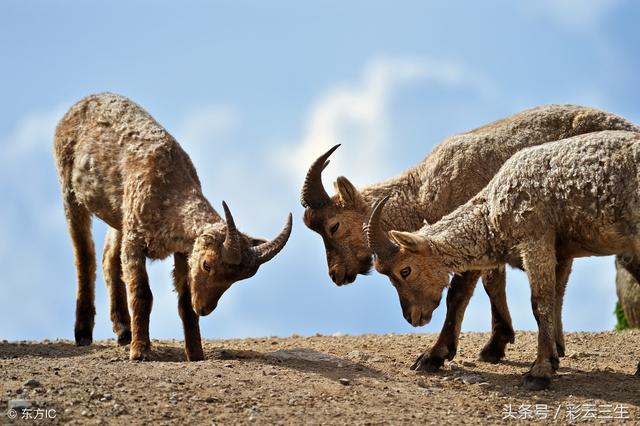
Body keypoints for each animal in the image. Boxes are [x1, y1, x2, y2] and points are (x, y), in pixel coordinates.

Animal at [53, 92, 292, 360]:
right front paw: (140, 352)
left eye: (235, 280)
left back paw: (123, 330)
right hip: (70, 193)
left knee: (109, 258)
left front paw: (195, 354)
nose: (204, 308)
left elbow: (184, 301)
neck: (168, 190)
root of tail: (78, 105)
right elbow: (142, 294)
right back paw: (83, 332)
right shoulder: (136, 239)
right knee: (84, 254)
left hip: (117, 215)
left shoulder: (180, 250)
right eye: (207, 264)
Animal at [364, 131, 640, 392]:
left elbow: (540, 303)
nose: (413, 317)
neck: (493, 211)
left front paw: (539, 372)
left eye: (405, 270)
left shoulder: (535, 237)